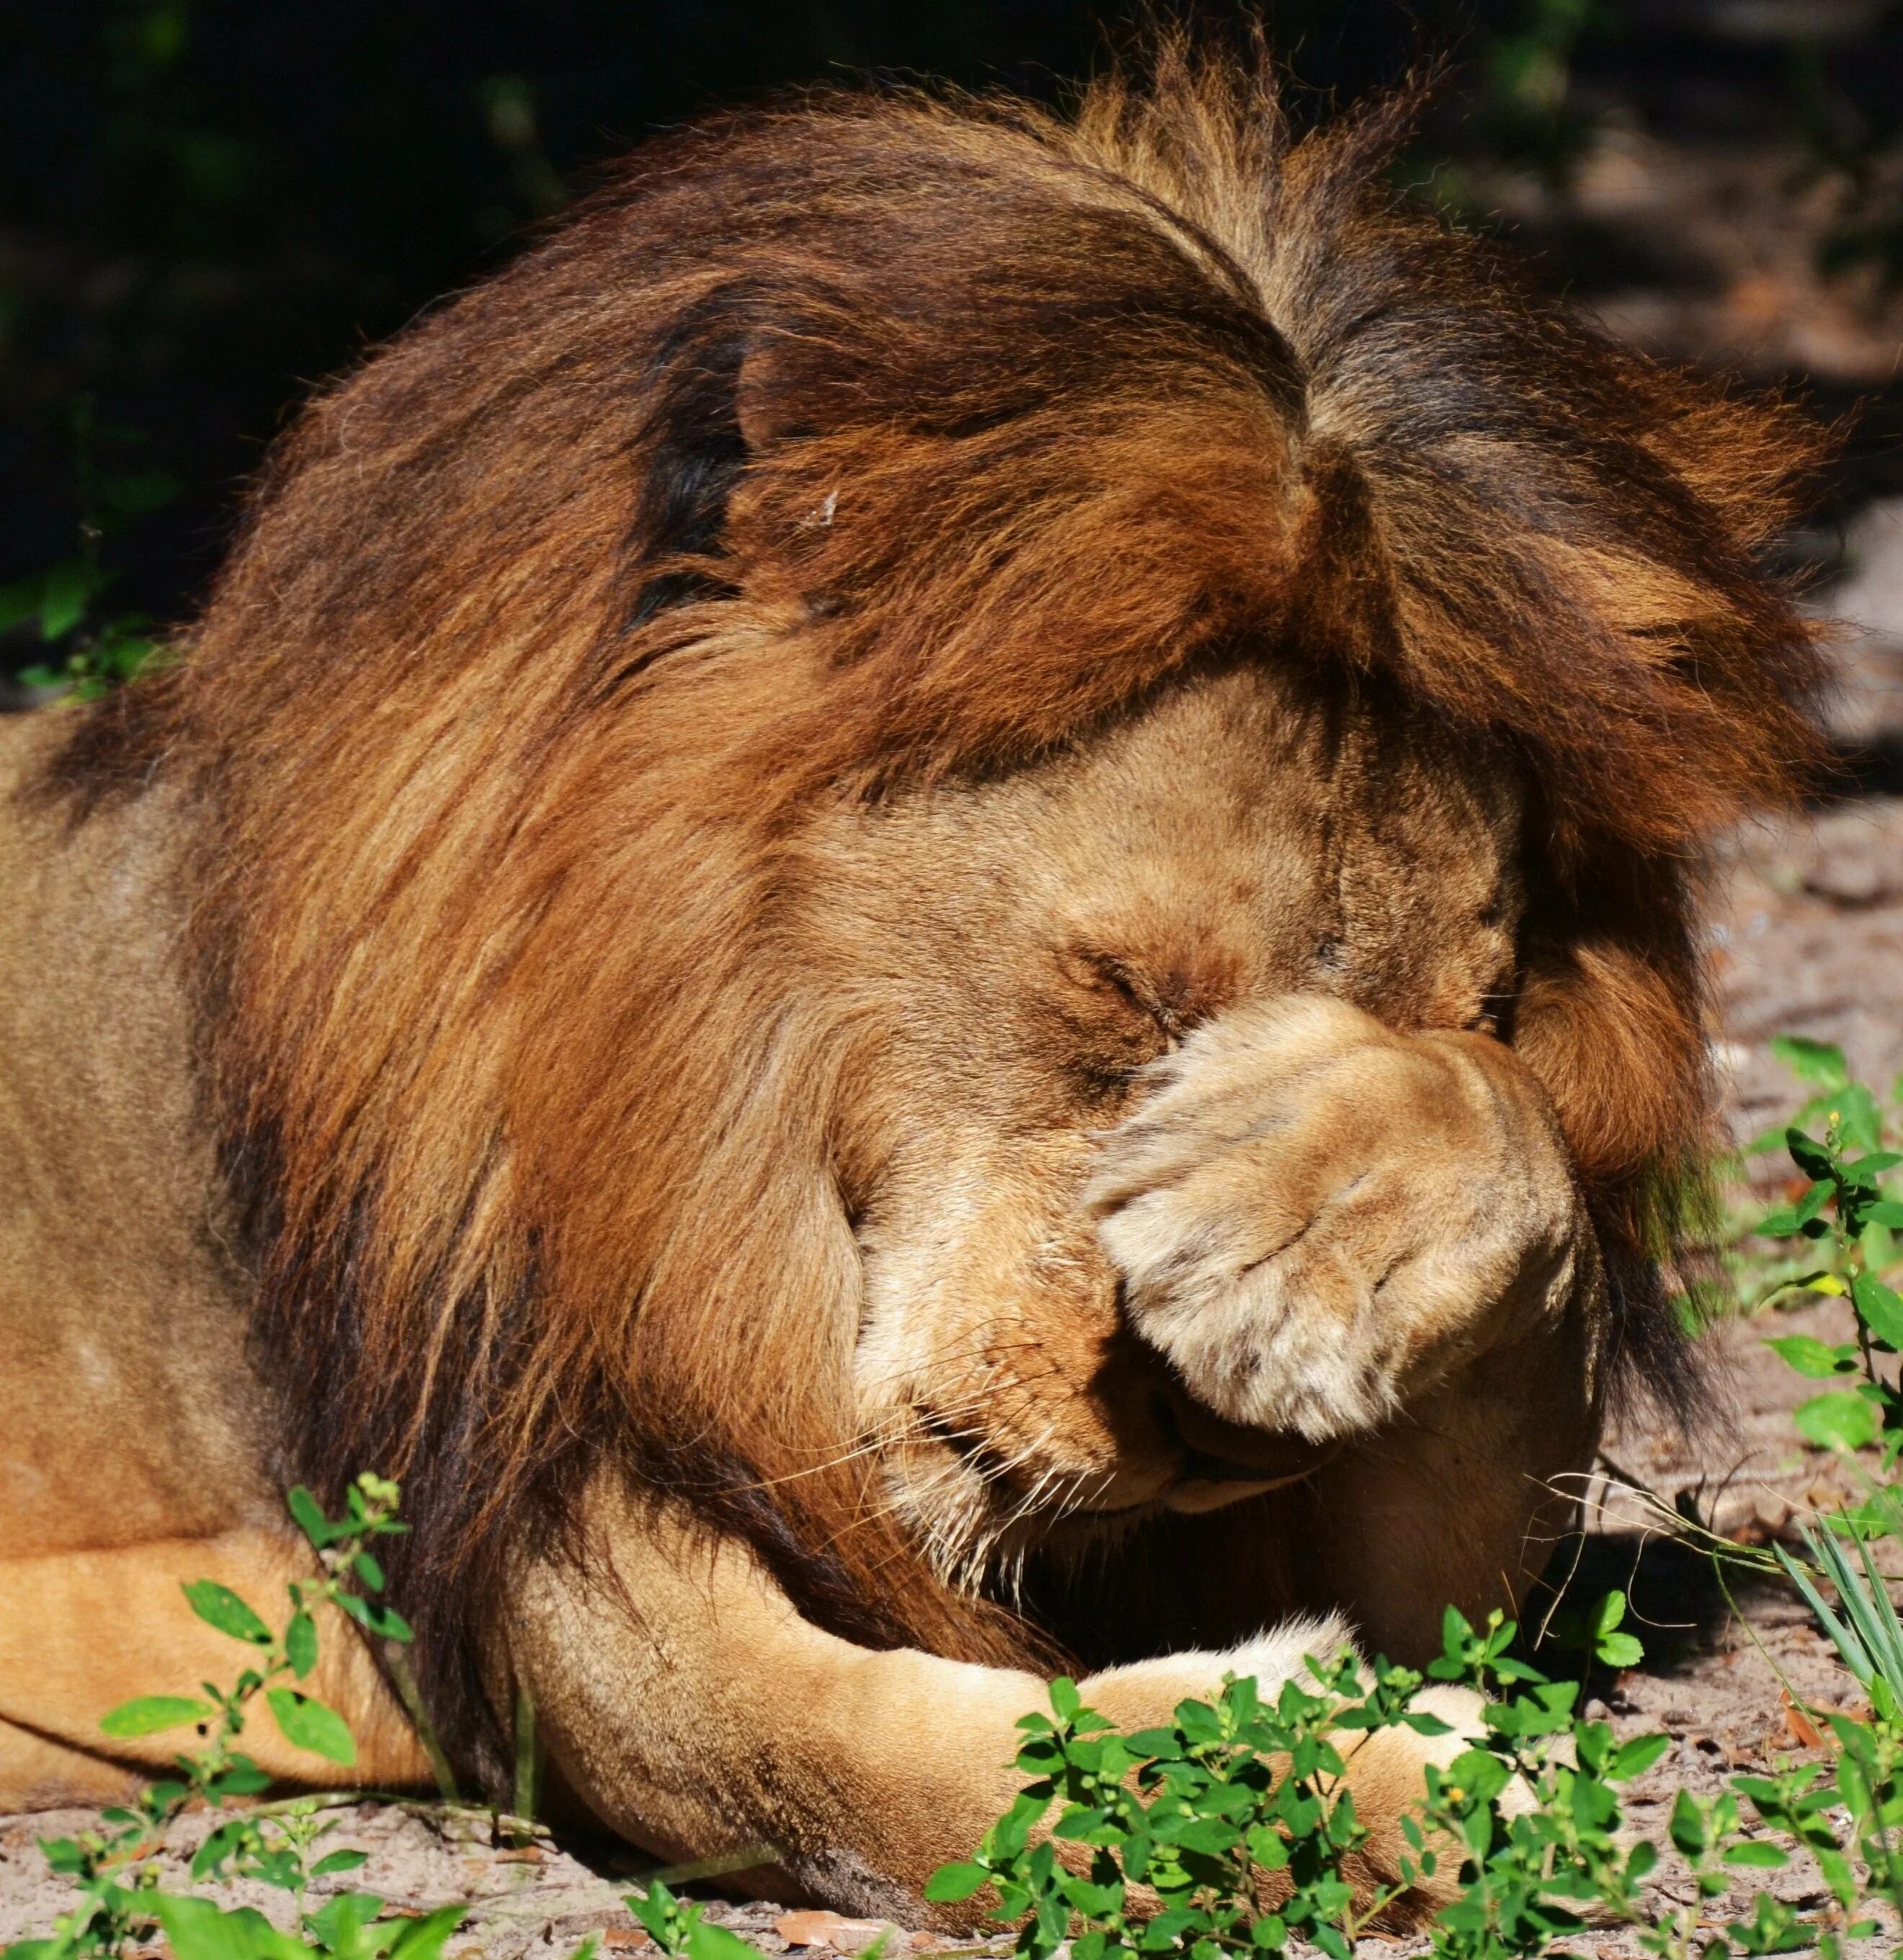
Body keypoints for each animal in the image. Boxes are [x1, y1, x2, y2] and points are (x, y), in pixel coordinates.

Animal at [0, 42, 1834, 1928]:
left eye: (1469, 1008)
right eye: (1121, 987)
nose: (1218, 1443)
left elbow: (1500, 1206)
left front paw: (1300, 1241)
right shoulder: (539, 1562)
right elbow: (882, 1766)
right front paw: (1378, 1785)